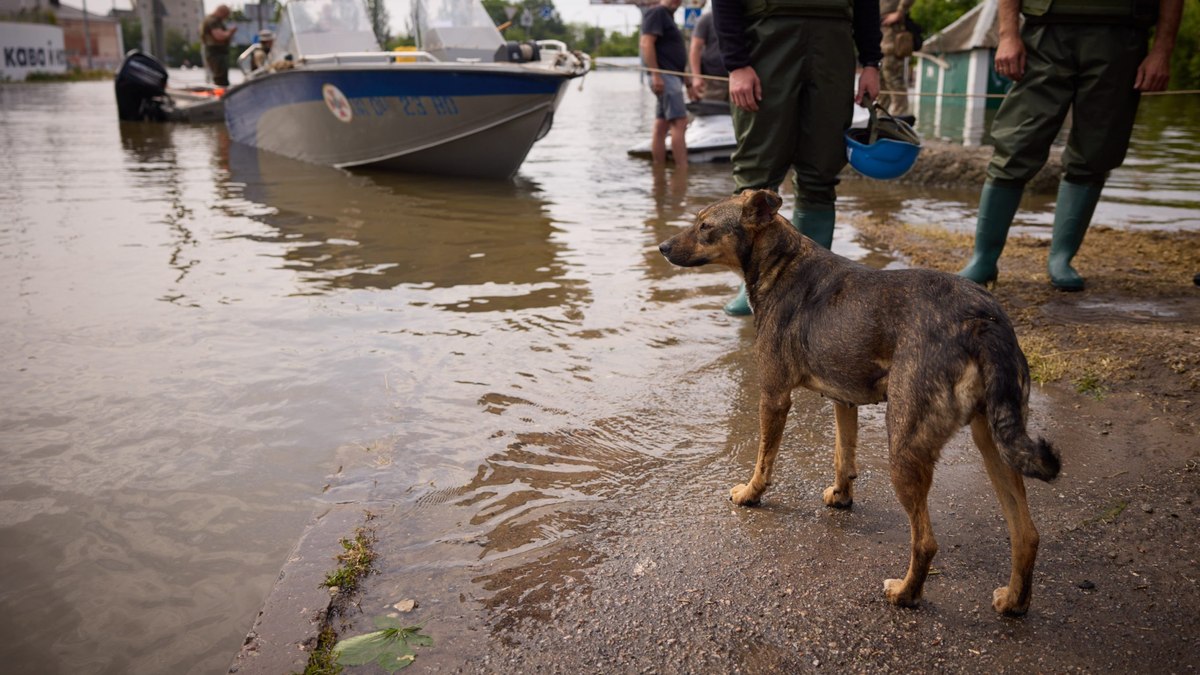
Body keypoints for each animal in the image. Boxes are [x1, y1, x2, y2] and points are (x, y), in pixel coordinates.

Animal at [657, 189, 1060, 614]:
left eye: (705, 226)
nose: (661, 247)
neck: (783, 262)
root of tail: (983, 320)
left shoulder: (773, 395)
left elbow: (764, 459)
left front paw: (751, 494)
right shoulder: (843, 399)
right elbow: (842, 455)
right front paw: (841, 497)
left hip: (905, 445)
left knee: (926, 541)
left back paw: (905, 594)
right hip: (993, 441)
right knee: (1026, 534)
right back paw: (1014, 601)